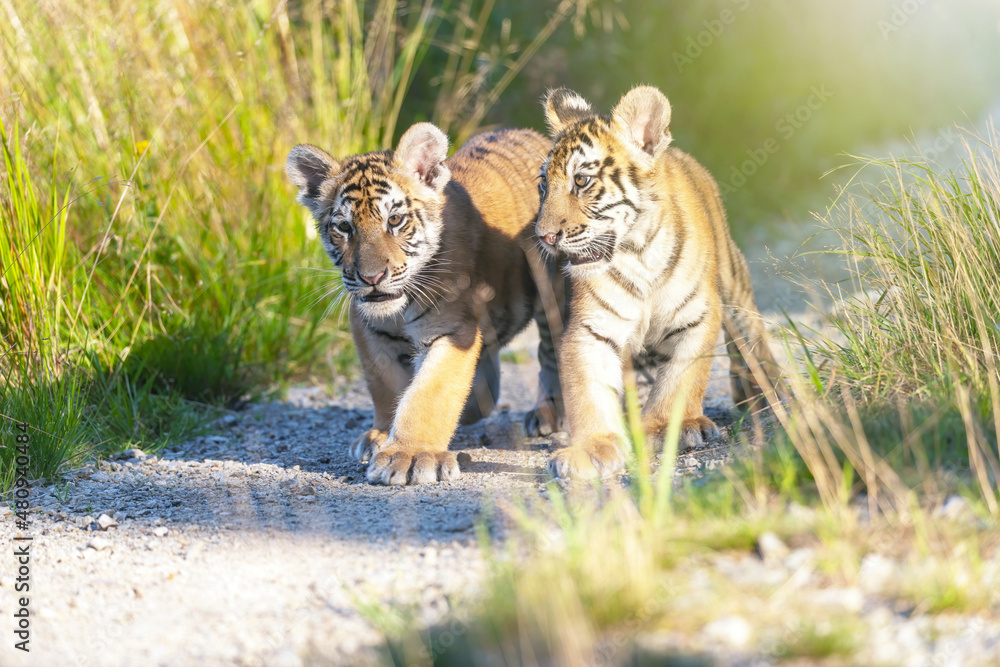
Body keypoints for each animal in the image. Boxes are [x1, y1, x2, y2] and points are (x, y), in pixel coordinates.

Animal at [286, 123, 566, 485]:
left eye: (394, 220)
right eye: (344, 227)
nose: (371, 277)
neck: (396, 311)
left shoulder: (452, 331)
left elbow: (429, 393)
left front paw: (410, 455)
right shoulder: (369, 329)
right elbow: (386, 385)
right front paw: (380, 435)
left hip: (553, 295)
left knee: (551, 351)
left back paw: (546, 413)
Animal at [533, 86, 782, 480]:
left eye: (582, 181)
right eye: (543, 185)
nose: (544, 236)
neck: (637, 252)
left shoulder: (698, 316)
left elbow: (681, 378)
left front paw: (668, 428)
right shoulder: (591, 329)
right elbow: (588, 388)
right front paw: (592, 447)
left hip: (734, 284)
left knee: (751, 338)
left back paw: (768, 391)